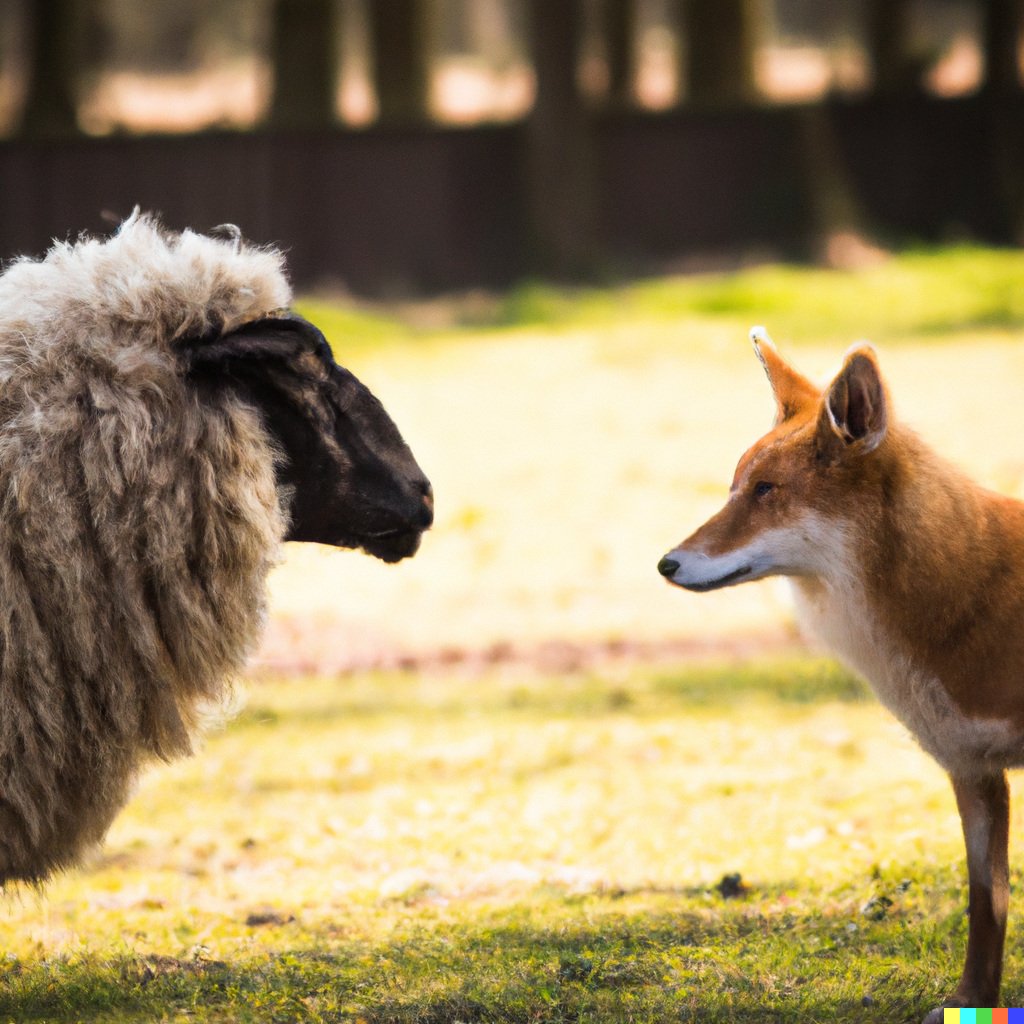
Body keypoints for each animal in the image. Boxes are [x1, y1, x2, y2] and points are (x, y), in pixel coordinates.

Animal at [655, 329, 1024, 1024]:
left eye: (766, 490)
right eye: (734, 487)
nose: (666, 563)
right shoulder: (972, 768)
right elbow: (985, 905)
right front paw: (973, 1002)